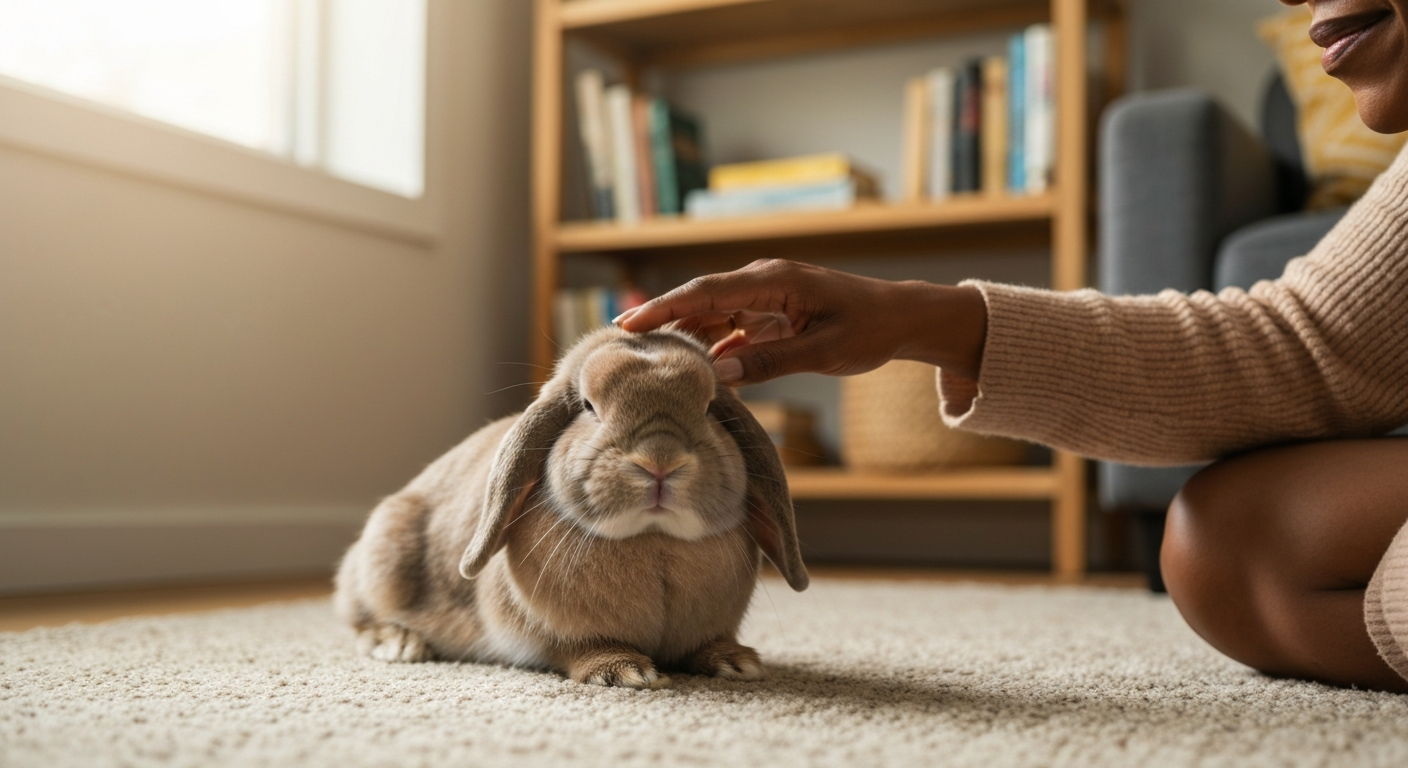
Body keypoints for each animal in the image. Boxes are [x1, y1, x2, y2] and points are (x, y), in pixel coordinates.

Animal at [333, 326, 809, 688]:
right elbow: (580, 648)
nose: (659, 462)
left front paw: (736, 661)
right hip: (383, 559)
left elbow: (707, 644)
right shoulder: (550, 633)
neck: (654, 538)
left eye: (710, 408)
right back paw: (400, 644)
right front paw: (624, 672)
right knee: (358, 620)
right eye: (587, 406)